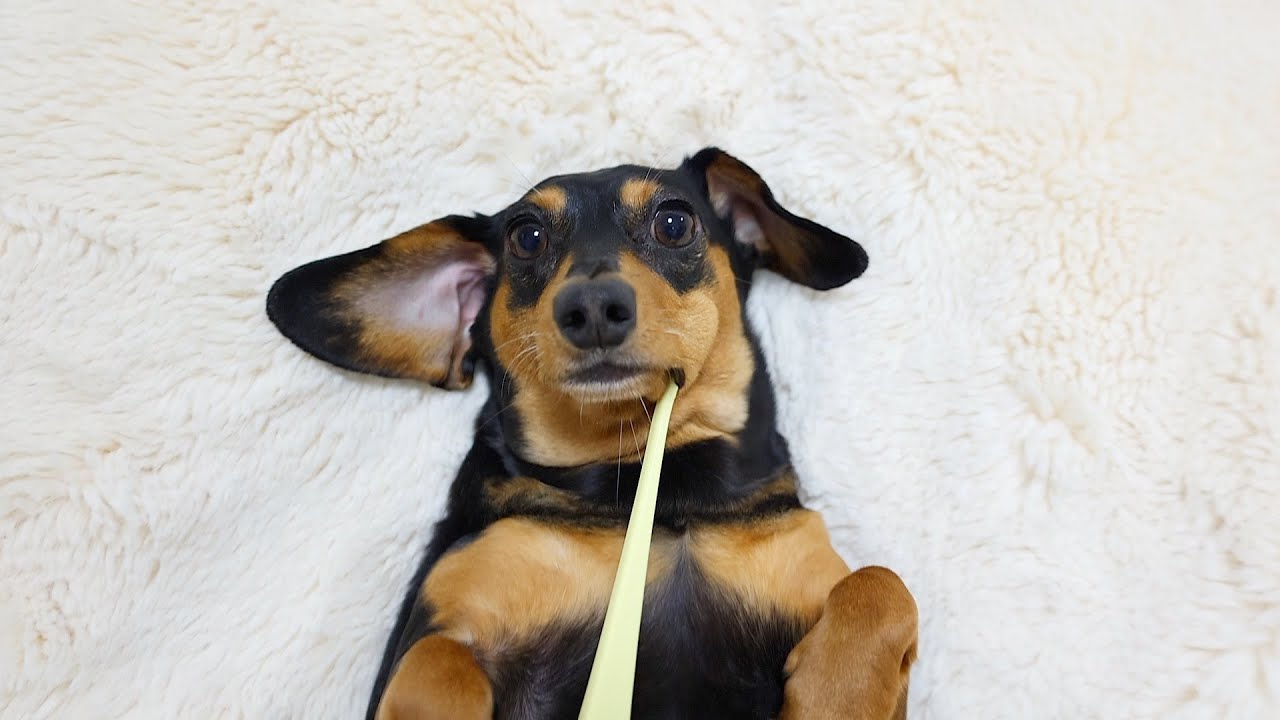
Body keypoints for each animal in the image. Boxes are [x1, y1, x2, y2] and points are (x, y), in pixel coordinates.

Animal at [266, 148, 918, 720]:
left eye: (675, 222)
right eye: (526, 236)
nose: (593, 307)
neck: (655, 493)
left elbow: (883, 585)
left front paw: (836, 699)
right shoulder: (439, 616)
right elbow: (436, 659)